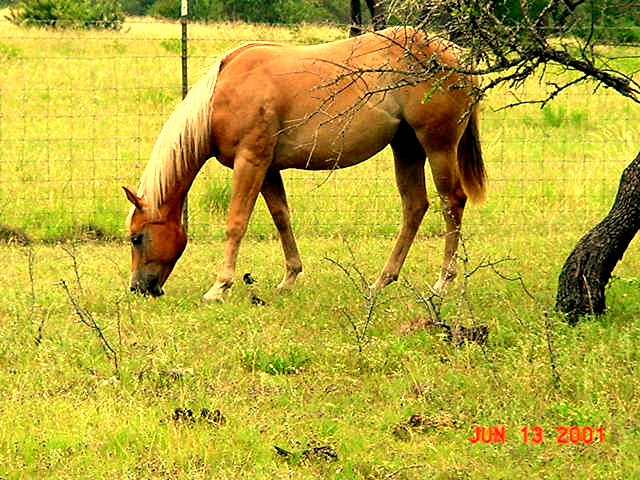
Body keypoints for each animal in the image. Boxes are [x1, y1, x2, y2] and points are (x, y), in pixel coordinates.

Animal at [124, 25, 484, 300]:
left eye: (136, 238)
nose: (139, 288)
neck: (221, 95)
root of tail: (456, 55)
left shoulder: (250, 161)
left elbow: (236, 222)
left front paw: (219, 286)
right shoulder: (268, 168)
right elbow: (281, 217)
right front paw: (289, 278)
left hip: (438, 147)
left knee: (452, 202)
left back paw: (443, 282)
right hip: (407, 147)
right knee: (414, 206)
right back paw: (381, 281)